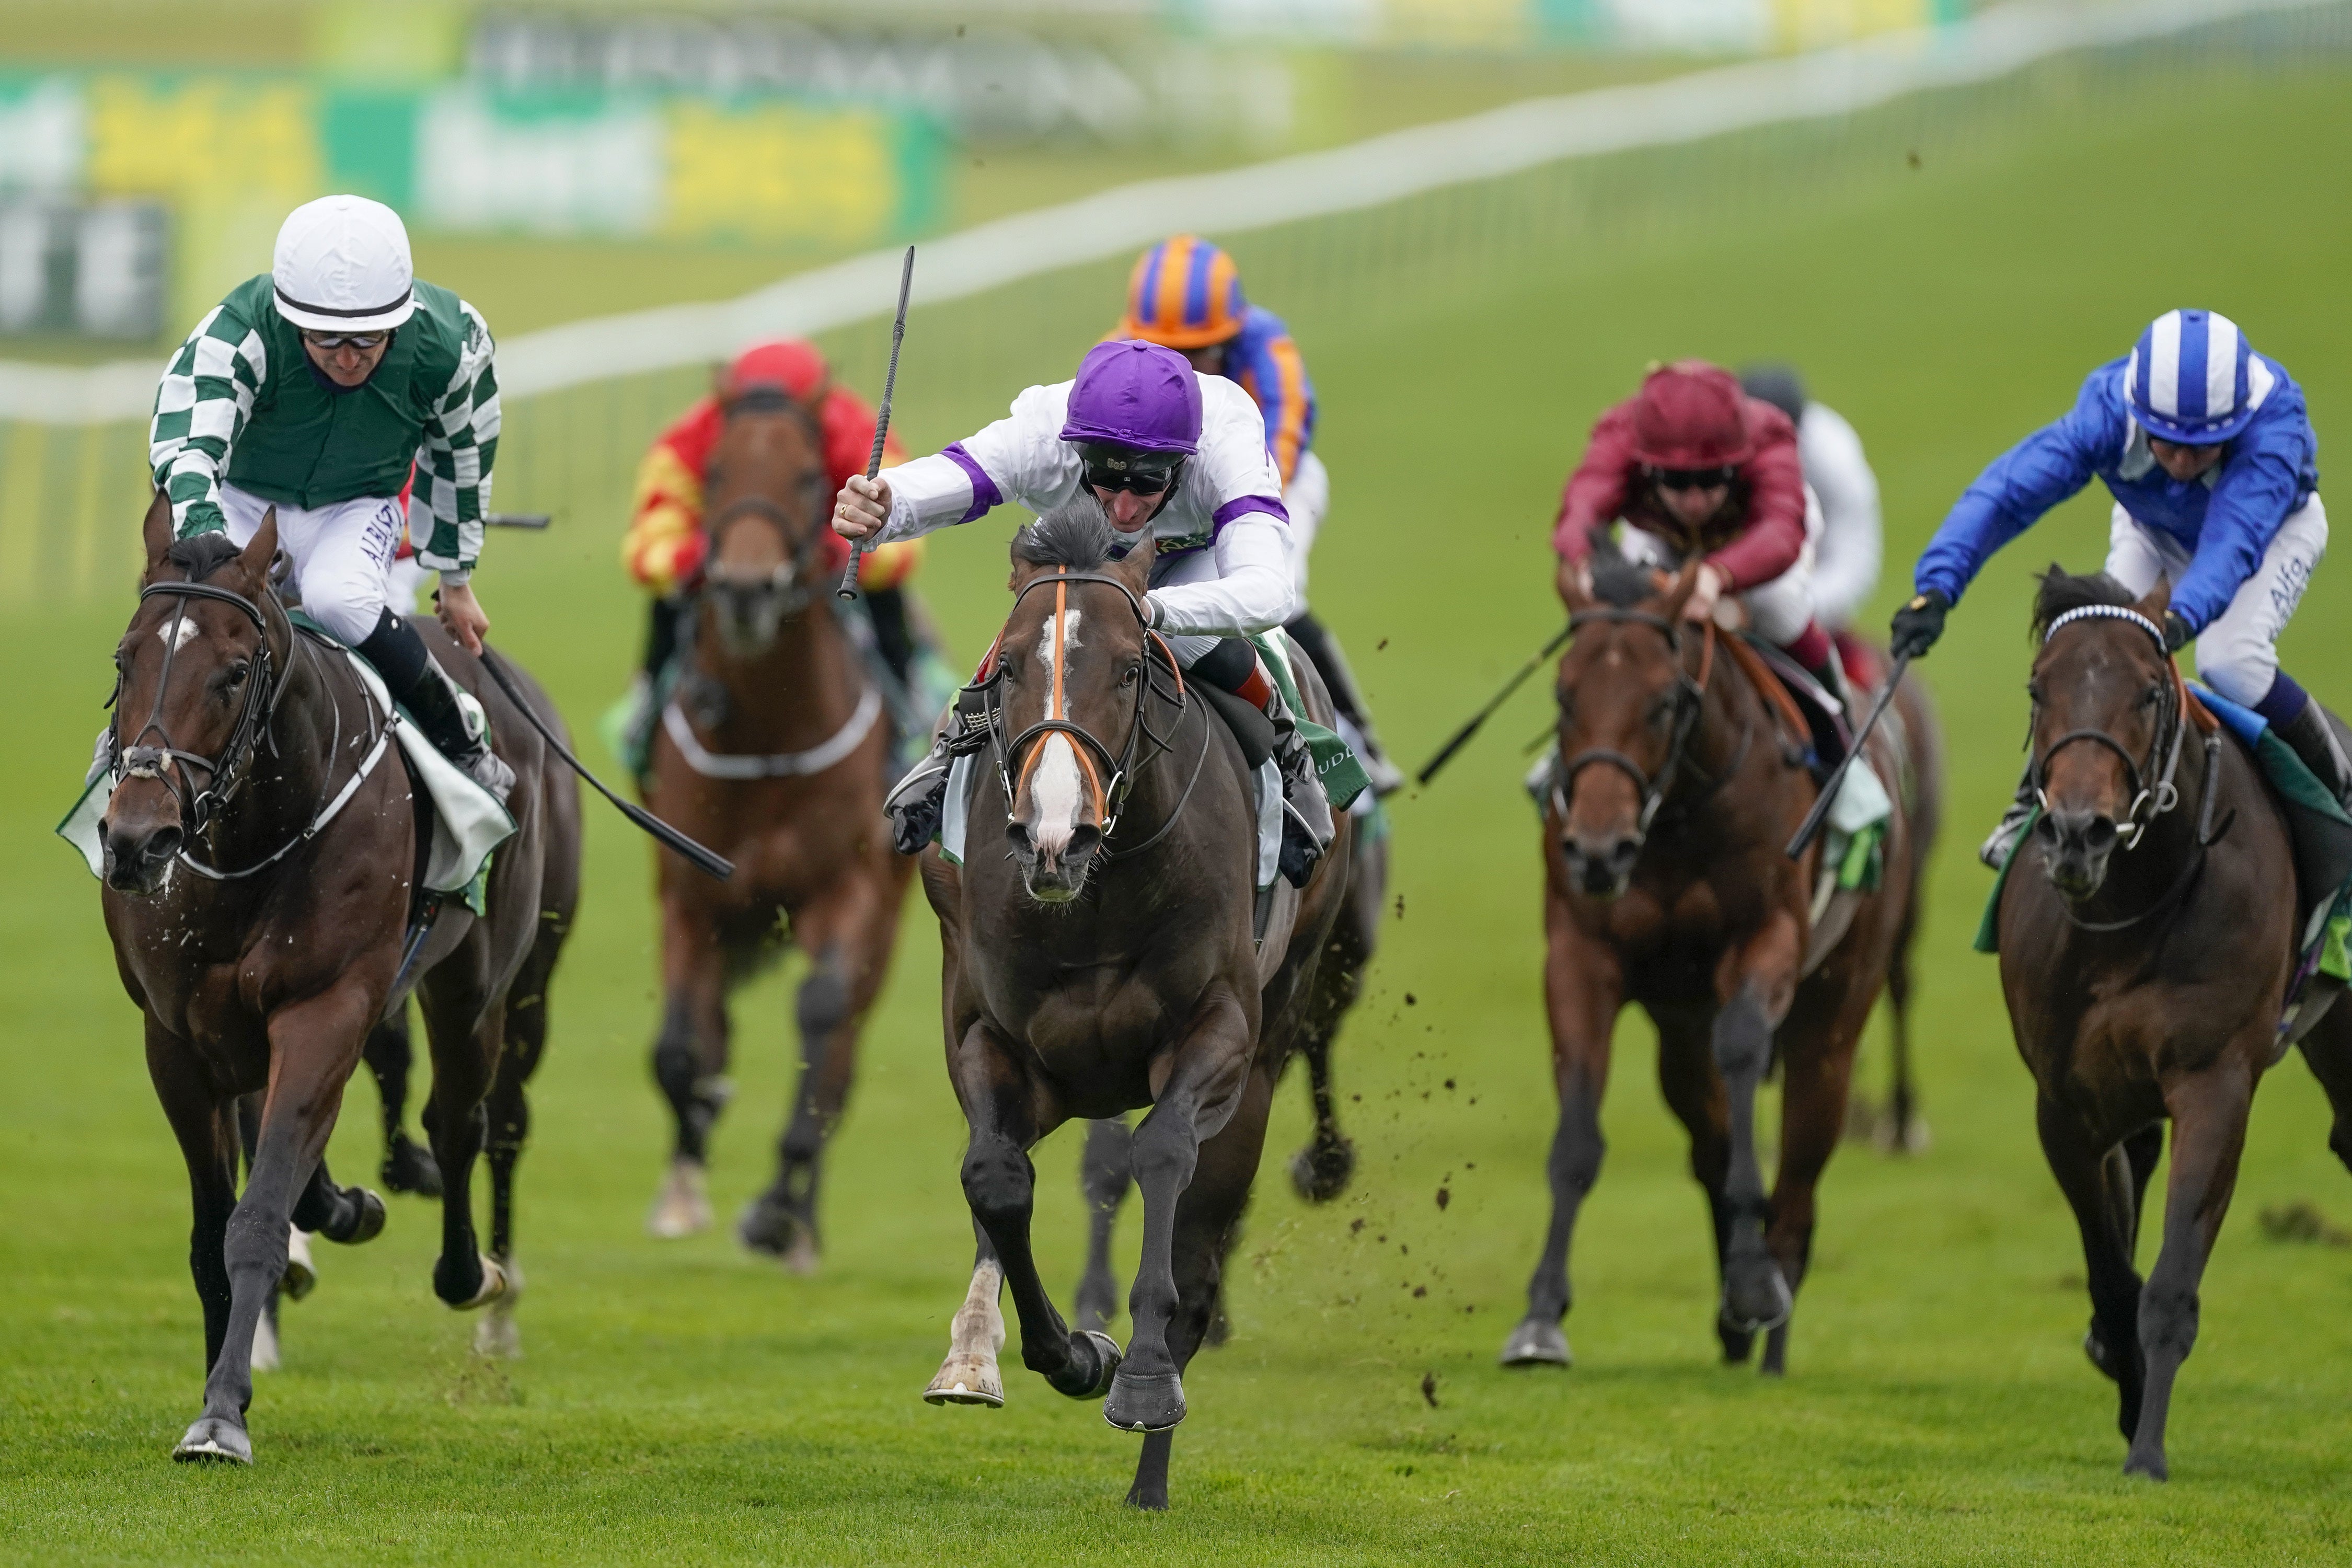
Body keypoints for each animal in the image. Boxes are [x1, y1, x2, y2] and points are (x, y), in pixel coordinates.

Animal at [100, 496, 579, 1467]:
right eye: (126, 659)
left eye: (233, 673)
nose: (137, 841)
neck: (248, 843)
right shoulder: (178, 1039)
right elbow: (216, 1228)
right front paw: (229, 1372)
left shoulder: (325, 1007)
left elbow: (253, 1221)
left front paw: (221, 1415)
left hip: (486, 983)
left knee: (466, 1122)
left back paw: (477, 1280)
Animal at [644, 385, 908, 1269]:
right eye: (717, 472)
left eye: (805, 477)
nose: (747, 589)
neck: (765, 735)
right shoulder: (689, 896)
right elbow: (681, 1049)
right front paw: (685, 1181)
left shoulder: (849, 887)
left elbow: (820, 1019)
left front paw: (775, 1209)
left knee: (841, 1060)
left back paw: (798, 1220)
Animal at [913, 512, 1364, 1504]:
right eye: (1008, 666)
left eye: (1129, 668)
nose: (1054, 836)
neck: (1094, 898)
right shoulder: (993, 1037)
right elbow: (995, 1179)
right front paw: (1071, 1354)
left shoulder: (1219, 1035)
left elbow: (1163, 1159)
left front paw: (1144, 1375)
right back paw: (975, 1356)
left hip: (1270, 1046)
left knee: (1199, 1242)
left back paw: (1150, 1478)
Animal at [1505, 550, 1929, 1373]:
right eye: (1564, 695)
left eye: (1665, 701)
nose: (1598, 851)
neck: (1672, 822)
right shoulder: (1579, 954)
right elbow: (1577, 1132)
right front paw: (1541, 1315)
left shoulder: (1767, 937)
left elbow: (1743, 1052)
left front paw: (1757, 1285)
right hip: (1679, 1032)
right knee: (1710, 1138)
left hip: (1835, 1017)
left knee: (1798, 1176)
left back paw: (1770, 1323)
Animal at [1994, 571, 2352, 1476]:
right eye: (2037, 688)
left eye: (2150, 692)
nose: (2077, 834)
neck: (2130, 905)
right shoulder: (2065, 1103)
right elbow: (2111, 1275)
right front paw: (2122, 1388)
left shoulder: (2215, 1083)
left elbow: (2169, 1283)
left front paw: (2148, 1452)